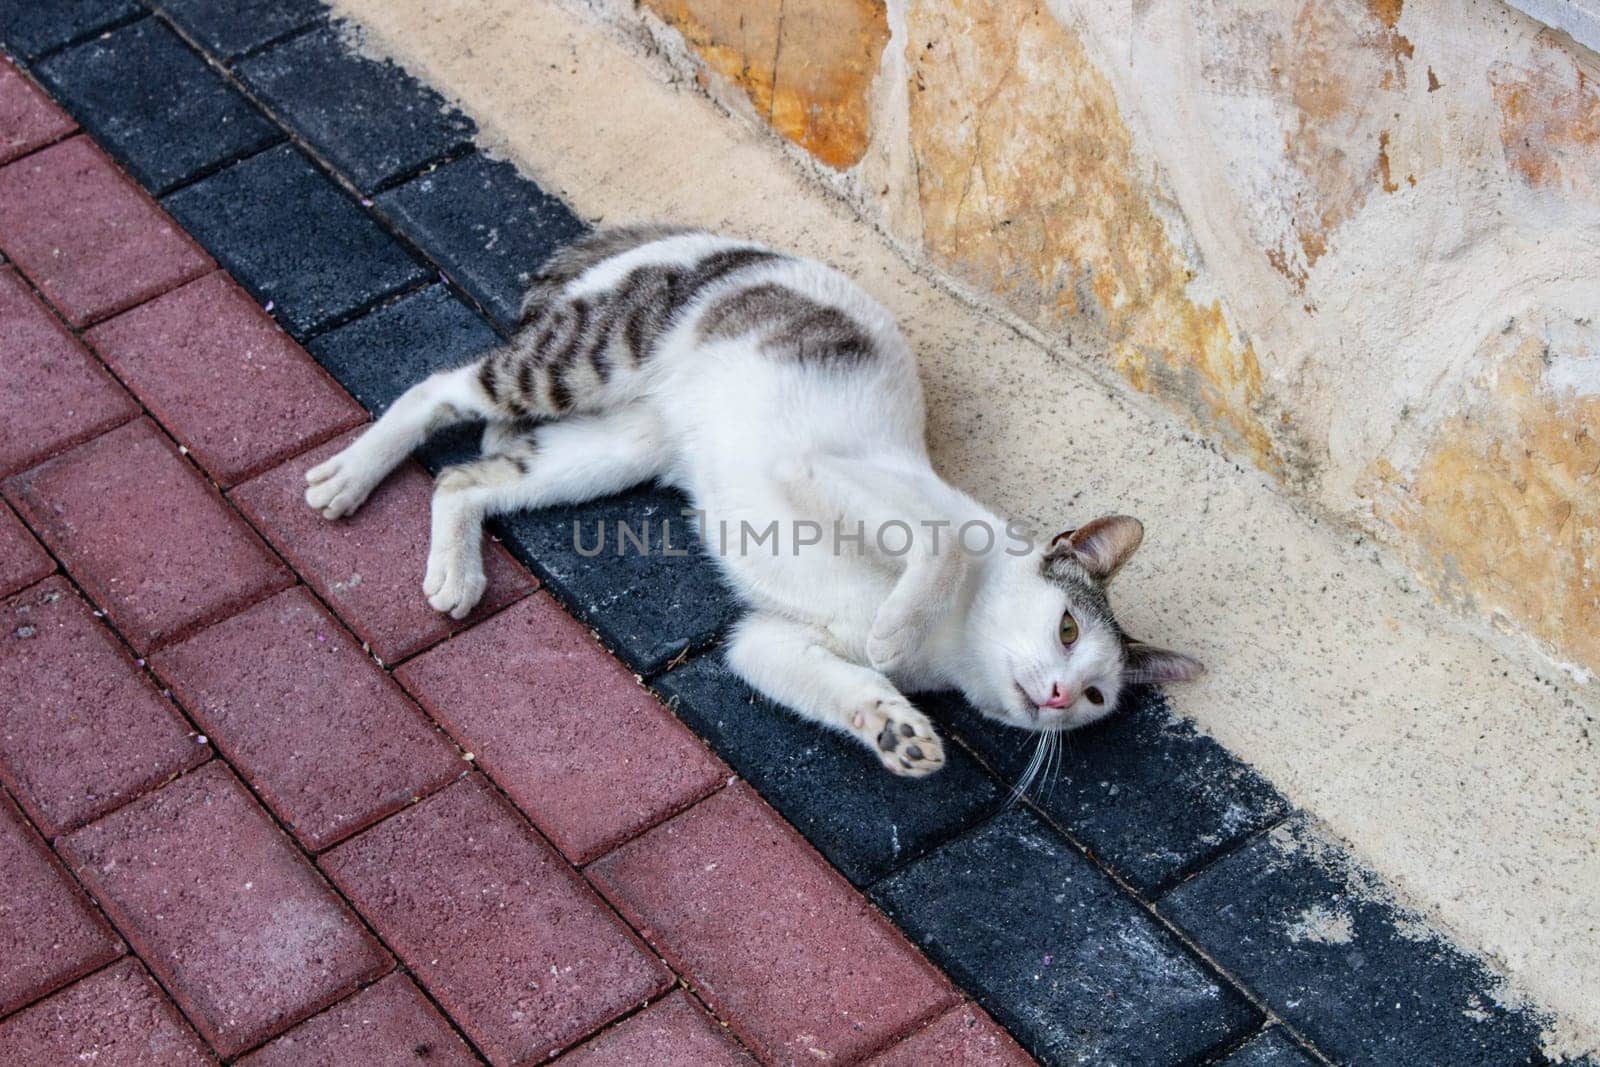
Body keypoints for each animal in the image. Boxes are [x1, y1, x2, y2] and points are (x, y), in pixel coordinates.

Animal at [302, 227, 1203, 777]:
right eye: (1066, 628)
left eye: (1095, 696)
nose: (1057, 698)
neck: (954, 646)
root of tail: (714, 241)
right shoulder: (822, 474)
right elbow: (935, 546)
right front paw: (894, 629)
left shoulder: (766, 641)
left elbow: (820, 677)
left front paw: (894, 727)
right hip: (584, 360)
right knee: (441, 388)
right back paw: (349, 475)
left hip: (614, 450)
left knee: (465, 479)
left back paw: (454, 568)